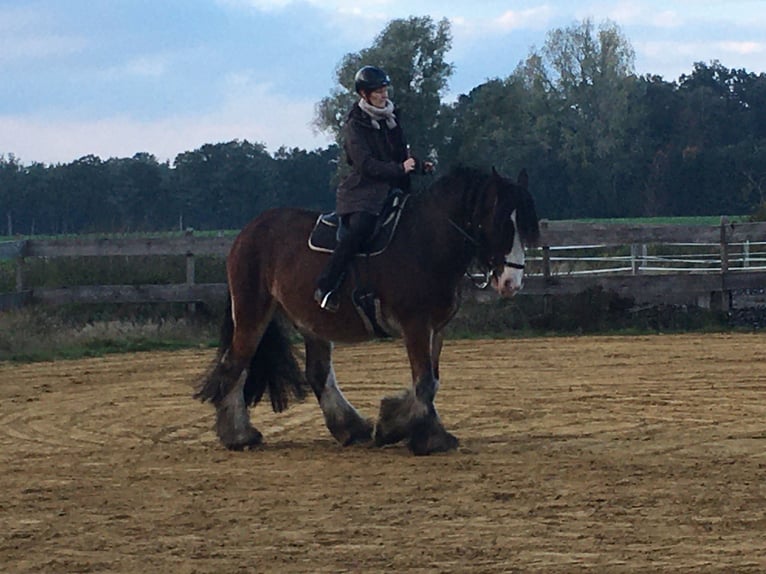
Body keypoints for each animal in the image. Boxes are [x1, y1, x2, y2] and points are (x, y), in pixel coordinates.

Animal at [200, 165, 544, 454]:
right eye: (500, 223)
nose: (512, 283)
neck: (427, 241)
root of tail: (248, 231)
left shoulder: (436, 328)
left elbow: (431, 380)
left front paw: (400, 425)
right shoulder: (415, 324)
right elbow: (424, 381)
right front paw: (421, 436)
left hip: (311, 321)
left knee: (317, 373)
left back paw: (350, 429)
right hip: (252, 312)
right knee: (236, 364)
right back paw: (239, 435)